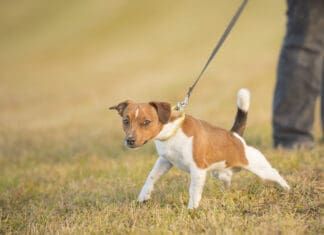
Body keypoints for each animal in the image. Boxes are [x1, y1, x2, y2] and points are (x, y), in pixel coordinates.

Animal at [110, 89, 290, 208]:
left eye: (146, 122)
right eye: (125, 121)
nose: (130, 141)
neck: (172, 133)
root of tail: (235, 136)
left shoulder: (197, 169)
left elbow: (194, 191)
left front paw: (192, 210)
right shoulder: (165, 161)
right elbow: (151, 177)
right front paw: (143, 197)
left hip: (259, 167)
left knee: (274, 173)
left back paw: (287, 189)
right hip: (220, 173)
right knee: (227, 179)